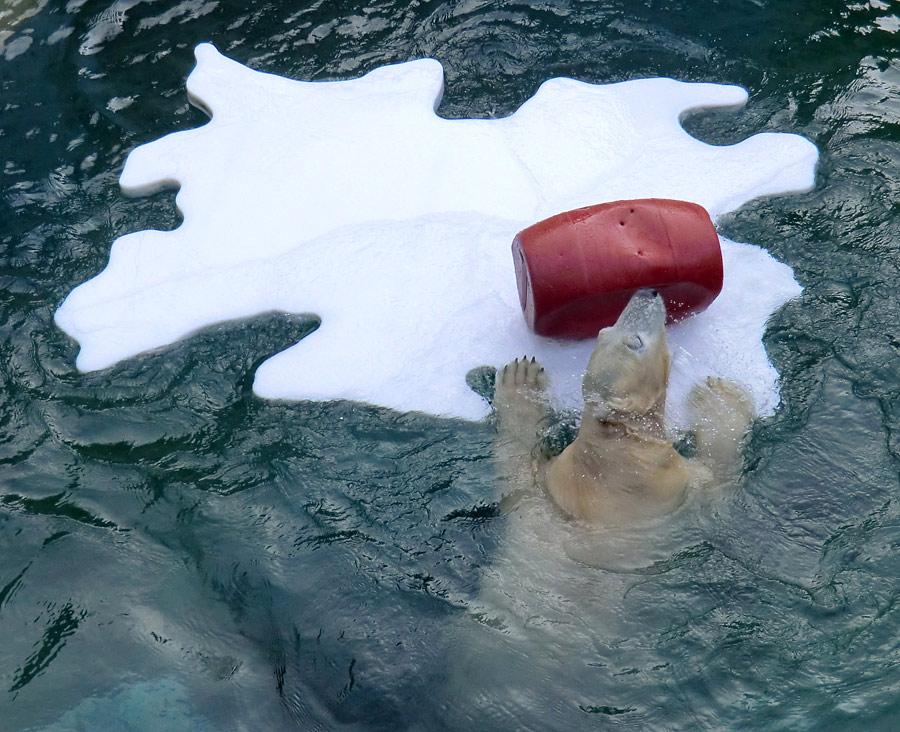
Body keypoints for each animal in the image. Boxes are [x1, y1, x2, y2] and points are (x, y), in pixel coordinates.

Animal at [492, 288, 752, 524]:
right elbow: (719, 472)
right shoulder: (669, 485)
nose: (647, 292)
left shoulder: (551, 481)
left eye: (603, 330)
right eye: (636, 342)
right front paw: (719, 397)